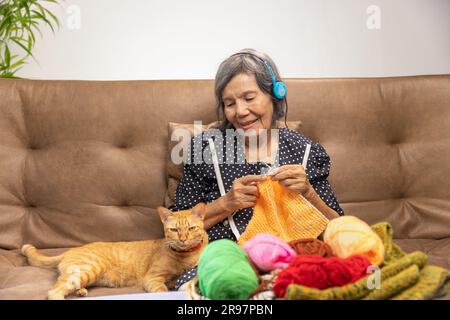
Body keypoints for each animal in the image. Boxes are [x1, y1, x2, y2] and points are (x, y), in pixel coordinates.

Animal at [21, 204, 207, 298]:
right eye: (174, 230)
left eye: (191, 228)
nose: (183, 239)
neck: (186, 255)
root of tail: (71, 250)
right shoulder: (153, 278)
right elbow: (163, 291)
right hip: (89, 268)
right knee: (54, 291)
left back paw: (80, 291)